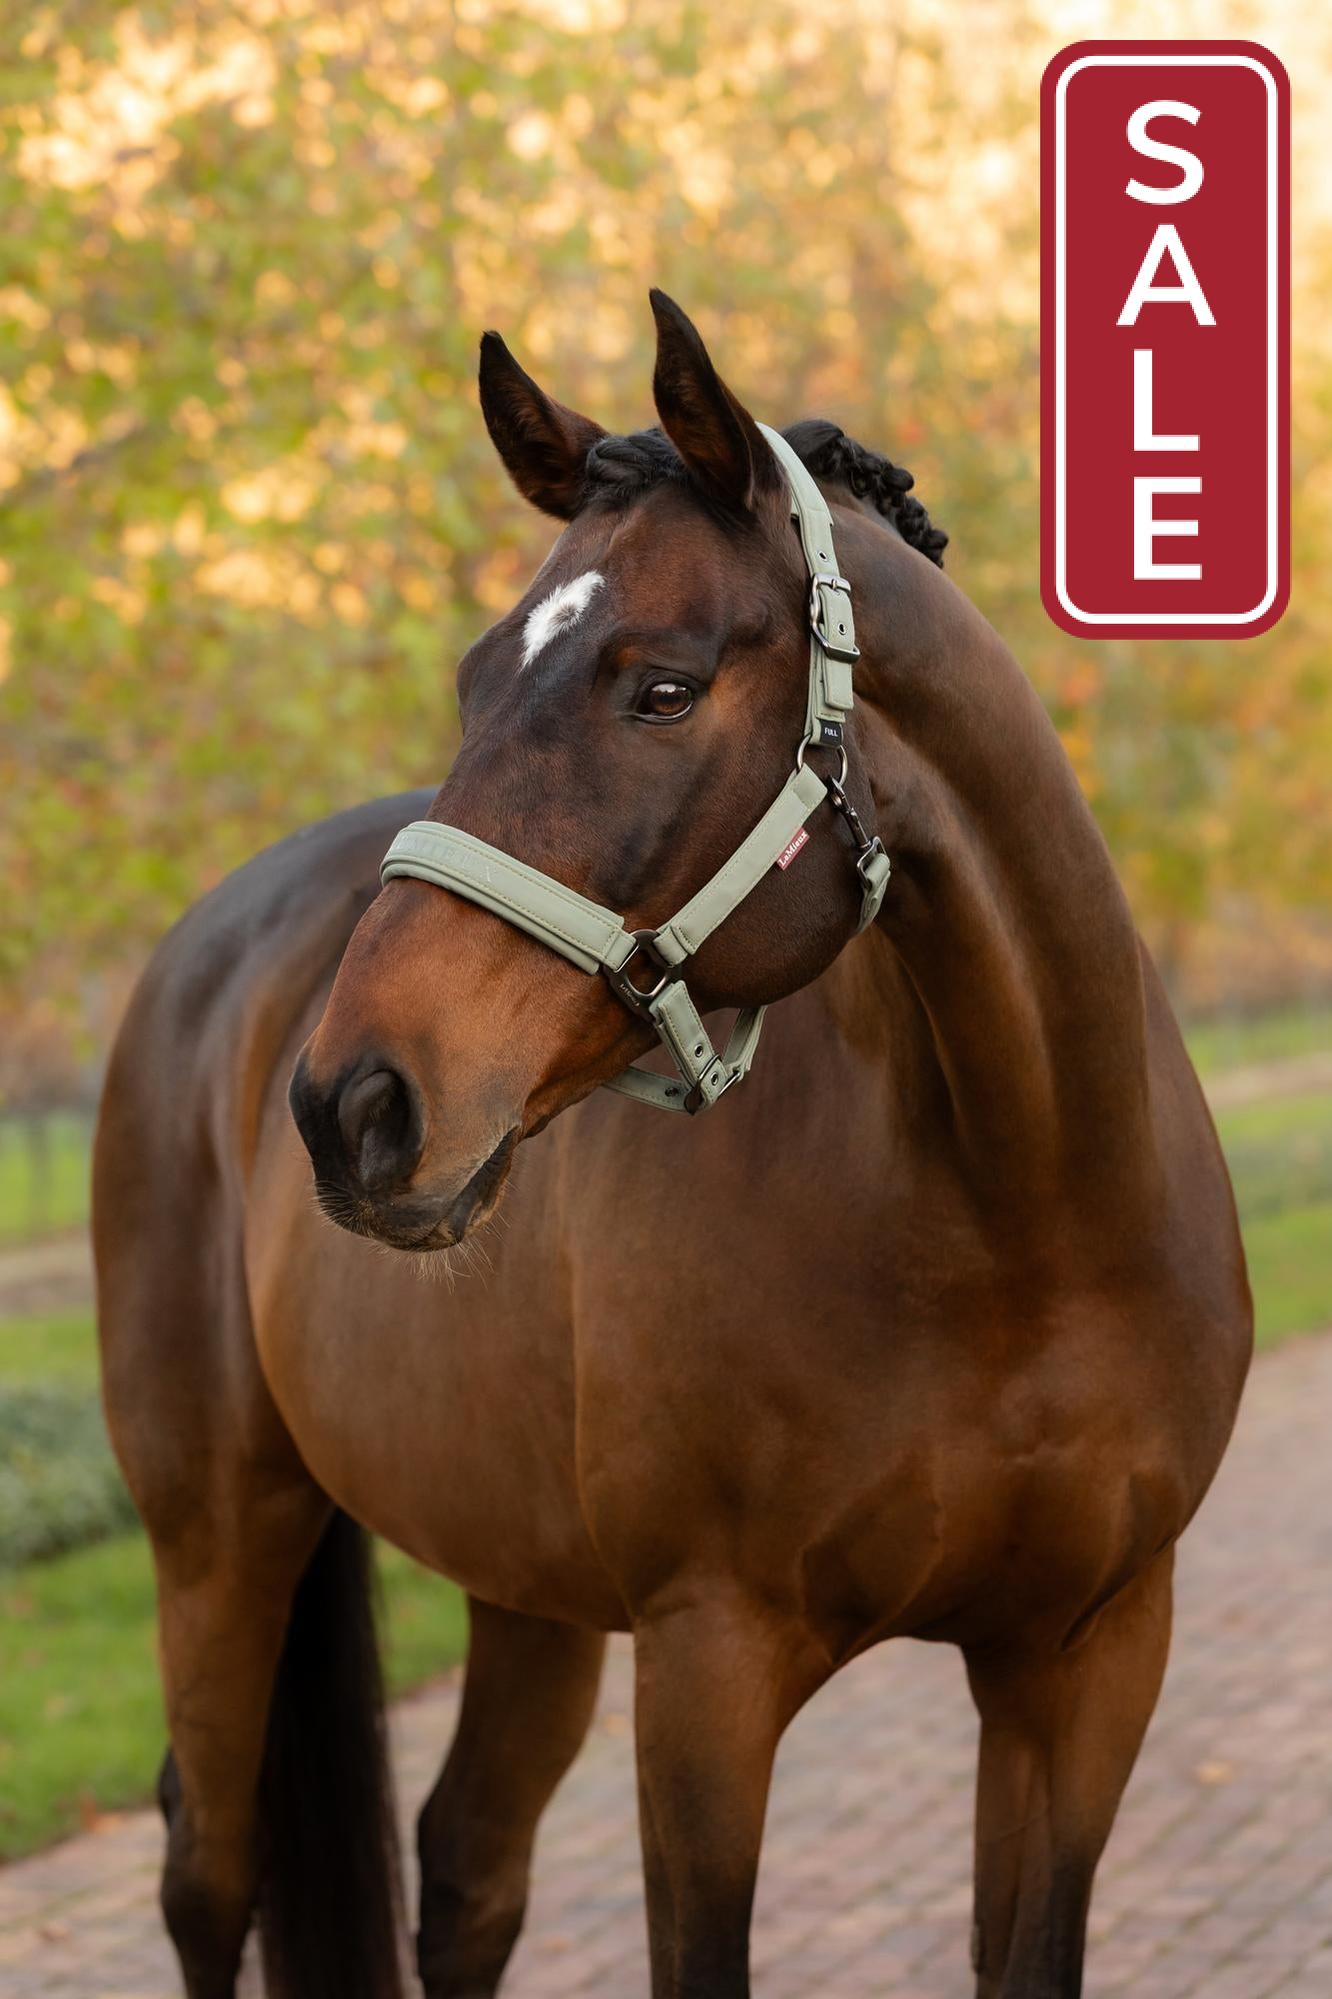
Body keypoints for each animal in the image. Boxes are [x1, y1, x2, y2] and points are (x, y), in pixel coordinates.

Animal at [94, 290, 1251, 1999]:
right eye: (473, 682)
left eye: (662, 686)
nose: (351, 1104)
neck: (1016, 1217)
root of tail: (202, 962)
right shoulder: (709, 1668)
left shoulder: (1089, 1657)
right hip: (219, 1546)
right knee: (203, 1872)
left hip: (516, 1577)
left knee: (466, 1868)